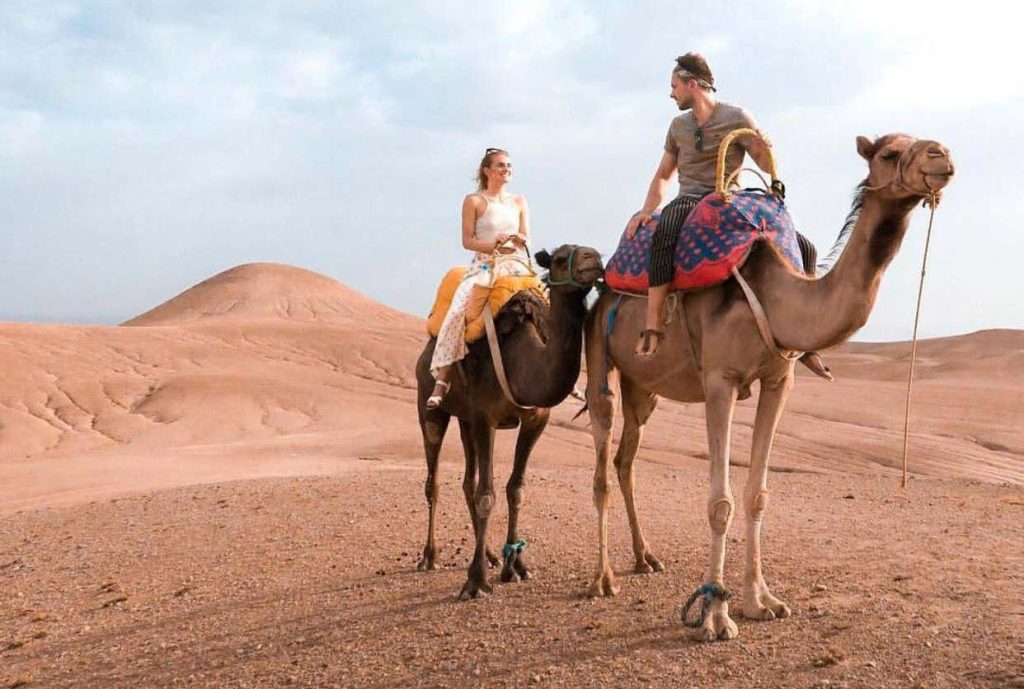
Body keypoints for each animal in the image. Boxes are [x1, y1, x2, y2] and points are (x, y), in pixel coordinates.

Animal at [415, 241, 606, 597]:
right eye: (561, 259)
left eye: (594, 253)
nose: (594, 259)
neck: (524, 359)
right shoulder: (485, 416)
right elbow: (486, 495)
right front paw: (475, 582)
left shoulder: (534, 420)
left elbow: (514, 489)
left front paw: (515, 566)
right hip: (429, 405)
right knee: (434, 480)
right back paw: (429, 557)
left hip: (465, 420)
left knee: (467, 480)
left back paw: (490, 554)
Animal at [585, 133, 950, 638]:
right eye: (889, 153)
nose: (942, 156)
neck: (777, 297)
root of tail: (605, 284)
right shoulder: (719, 381)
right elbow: (720, 502)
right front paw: (715, 615)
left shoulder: (780, 380)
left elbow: (758, 495)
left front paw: (761, 601)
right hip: (599, 354)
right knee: (601, 463)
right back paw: (603, 579)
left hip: (644, 387)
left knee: (626, 461)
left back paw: (645, 558)